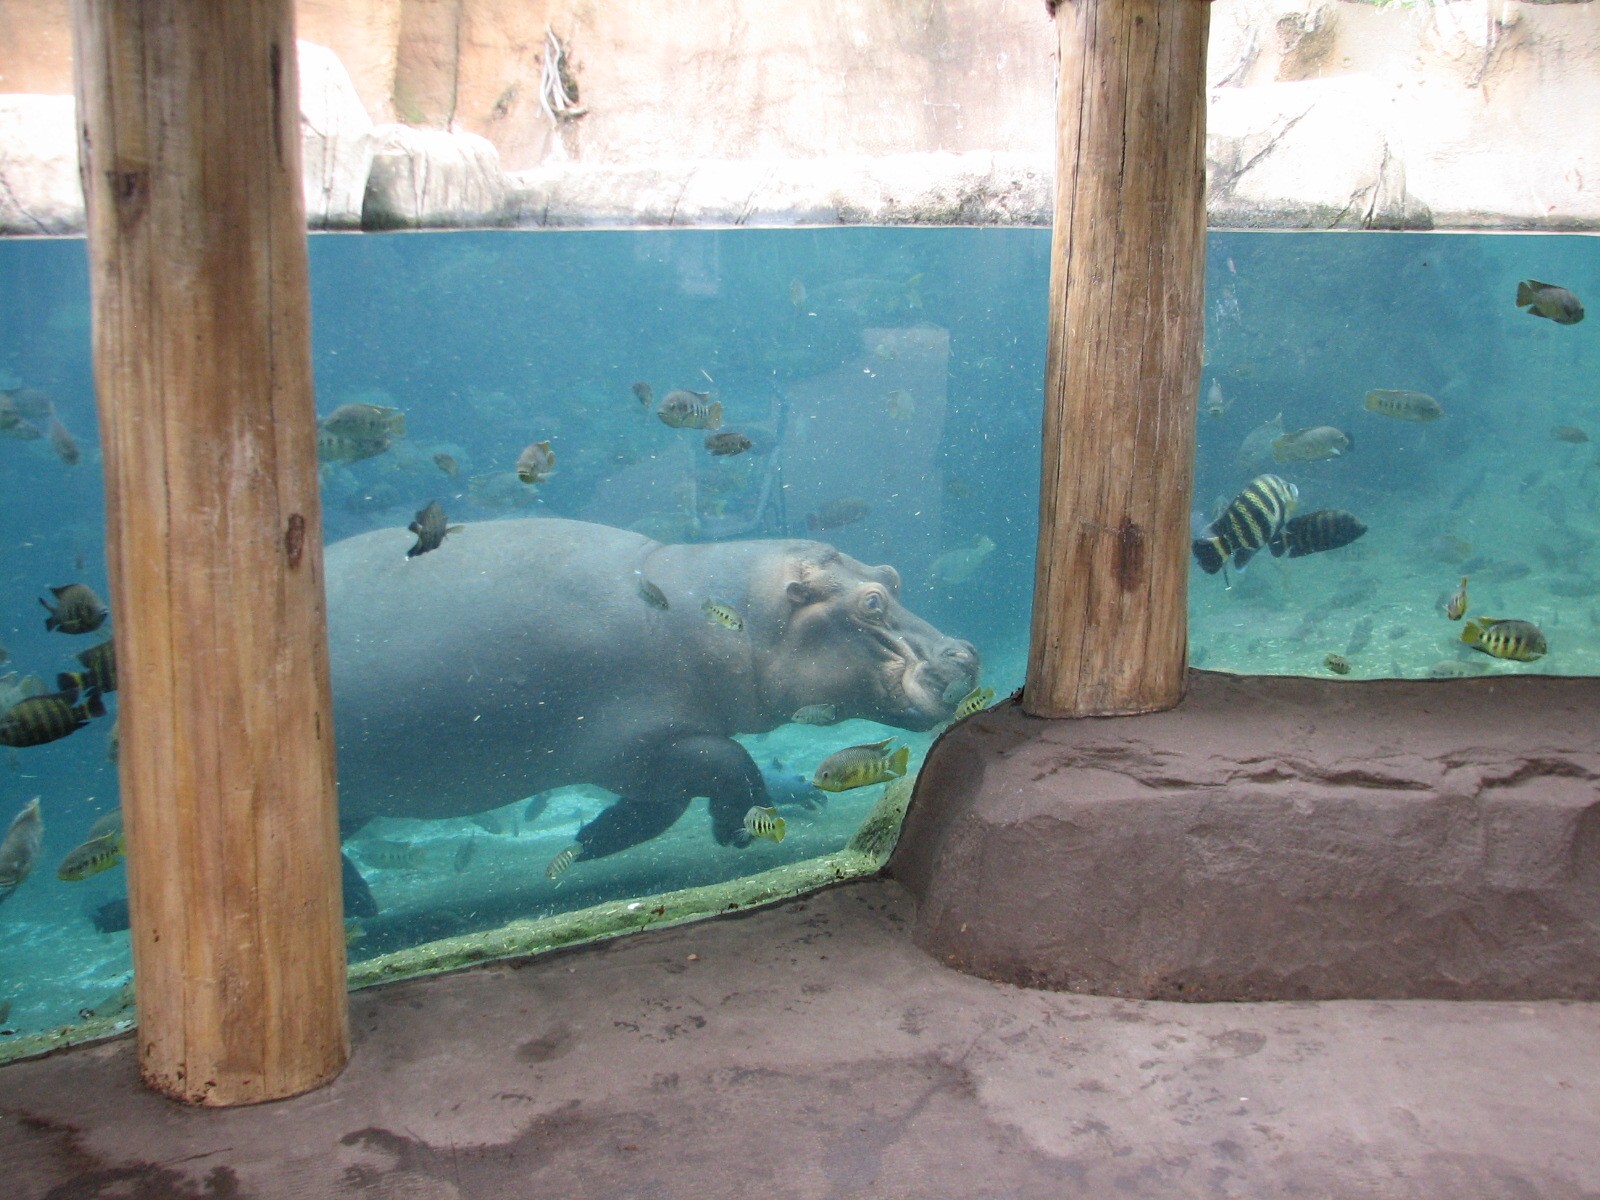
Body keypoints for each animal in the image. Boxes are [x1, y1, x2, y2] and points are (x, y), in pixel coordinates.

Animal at [325, 518, 979, 865]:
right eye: (871, 603)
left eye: (892, 575)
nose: (965, 654)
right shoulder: (632, 745)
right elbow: (728, 760)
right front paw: (733, 832)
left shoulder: (647, 756)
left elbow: (668, 800)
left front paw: (591, 837)